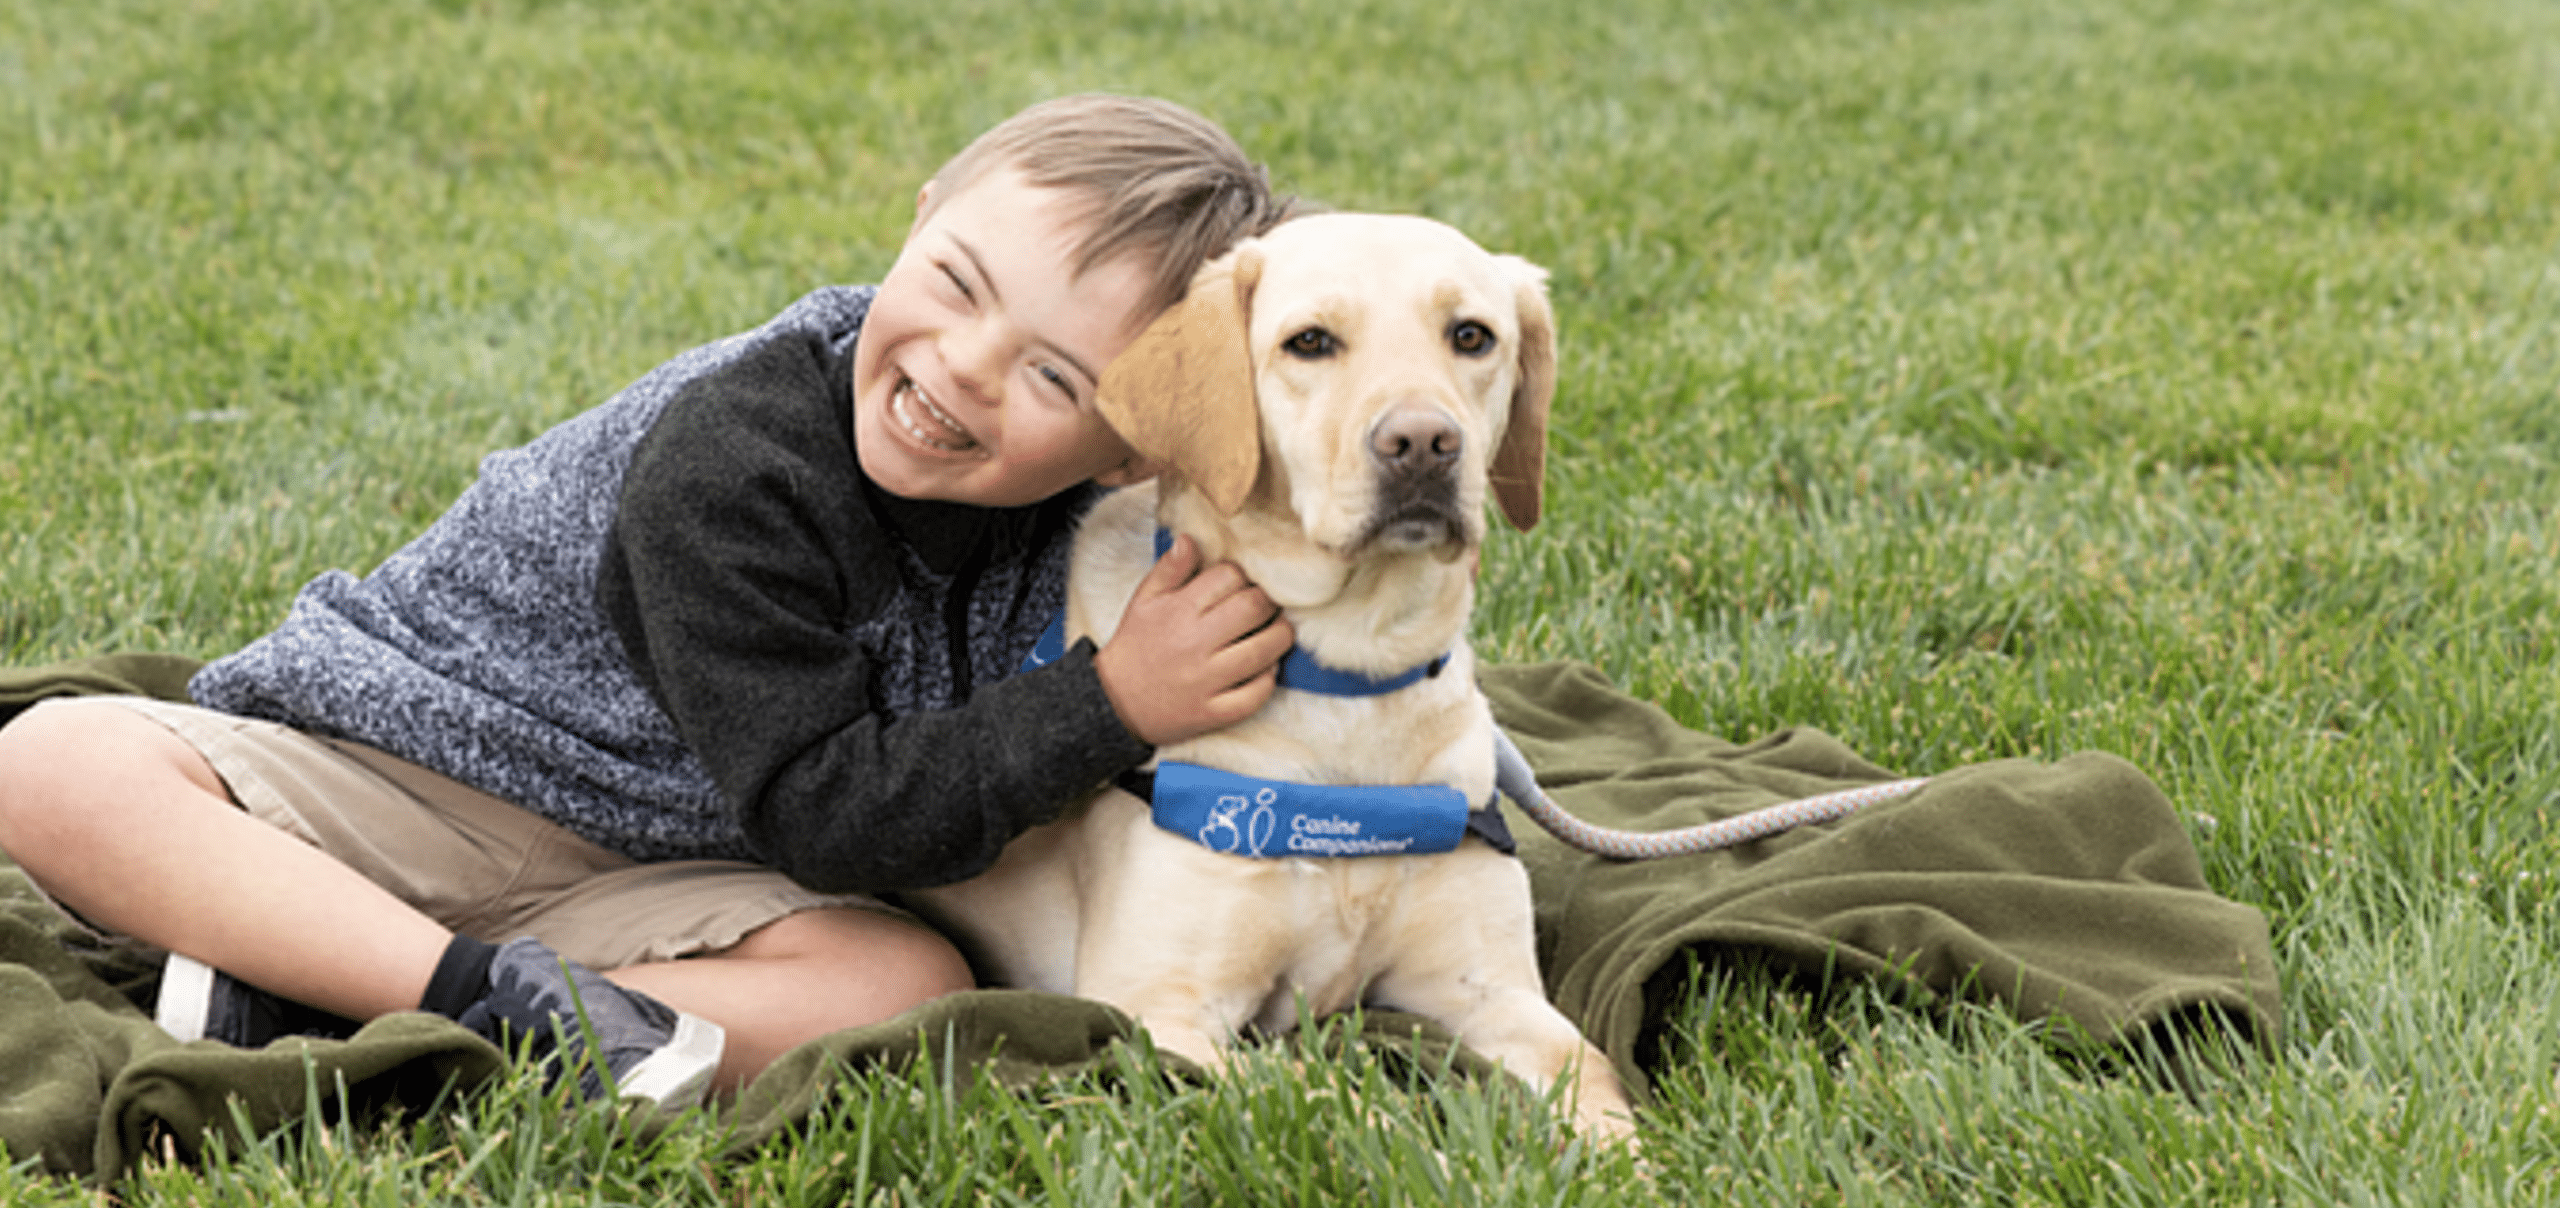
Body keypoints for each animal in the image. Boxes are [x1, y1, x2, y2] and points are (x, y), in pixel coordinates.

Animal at [911, 209, 1628, 1141]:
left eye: (1472, 336)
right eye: (1310, 342)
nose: (1423, 444)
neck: (1350, 680)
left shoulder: (1495, 989)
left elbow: (1600, 1079)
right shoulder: (1160, 1010)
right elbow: (1329, 1101)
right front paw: (1427, 1148)